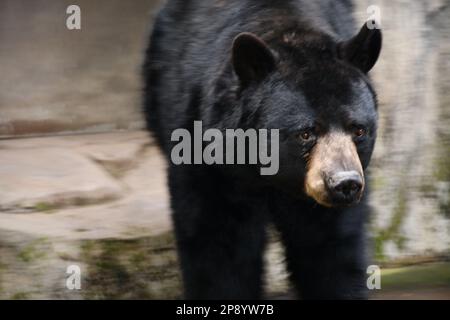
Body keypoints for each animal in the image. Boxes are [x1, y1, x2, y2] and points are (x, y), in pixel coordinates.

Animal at [143, 0, 380, 300]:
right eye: (306, 133)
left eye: (358, 129)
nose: (345, 183)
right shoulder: (206, 152)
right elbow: (219, 244)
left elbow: (331, 247)